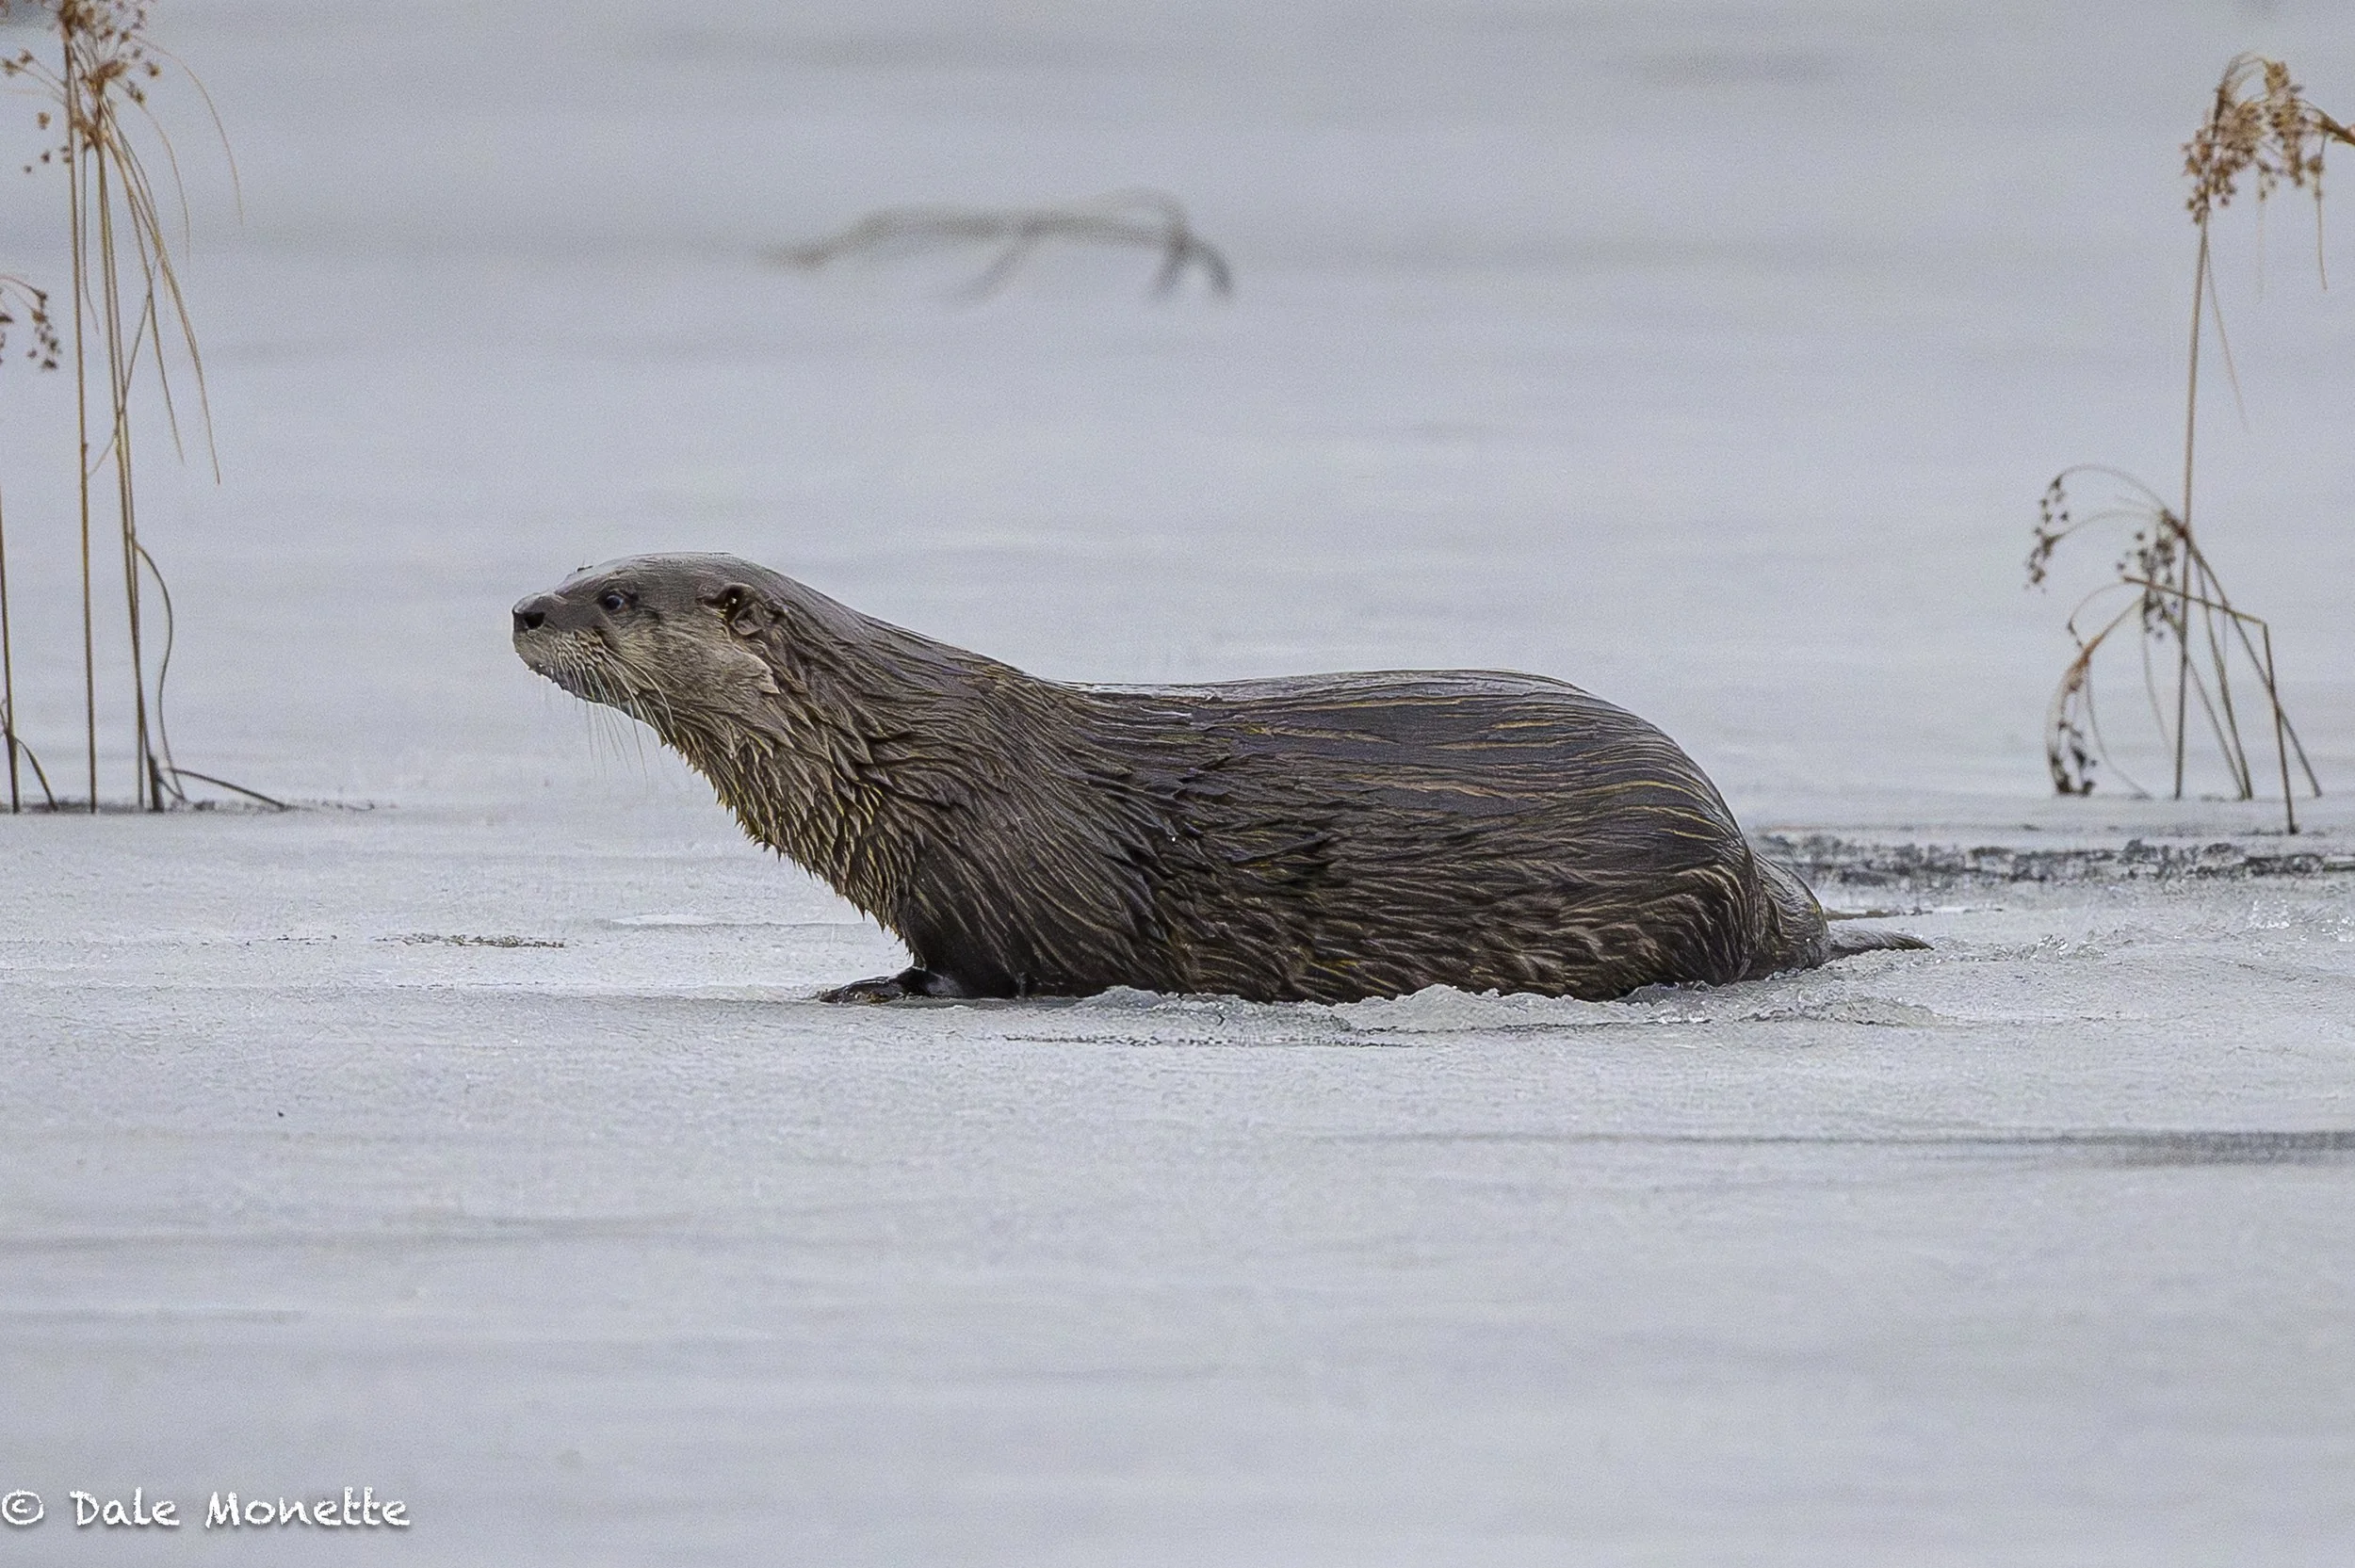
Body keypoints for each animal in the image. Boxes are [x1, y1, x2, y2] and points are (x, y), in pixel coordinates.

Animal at [512, 554, 1921, 1003]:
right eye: (580, 568)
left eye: (617, 596)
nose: (525, 608)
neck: (905, 761)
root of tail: (1749, 868)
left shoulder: (1013, 891)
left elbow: (992, 970)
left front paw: (872, 992)